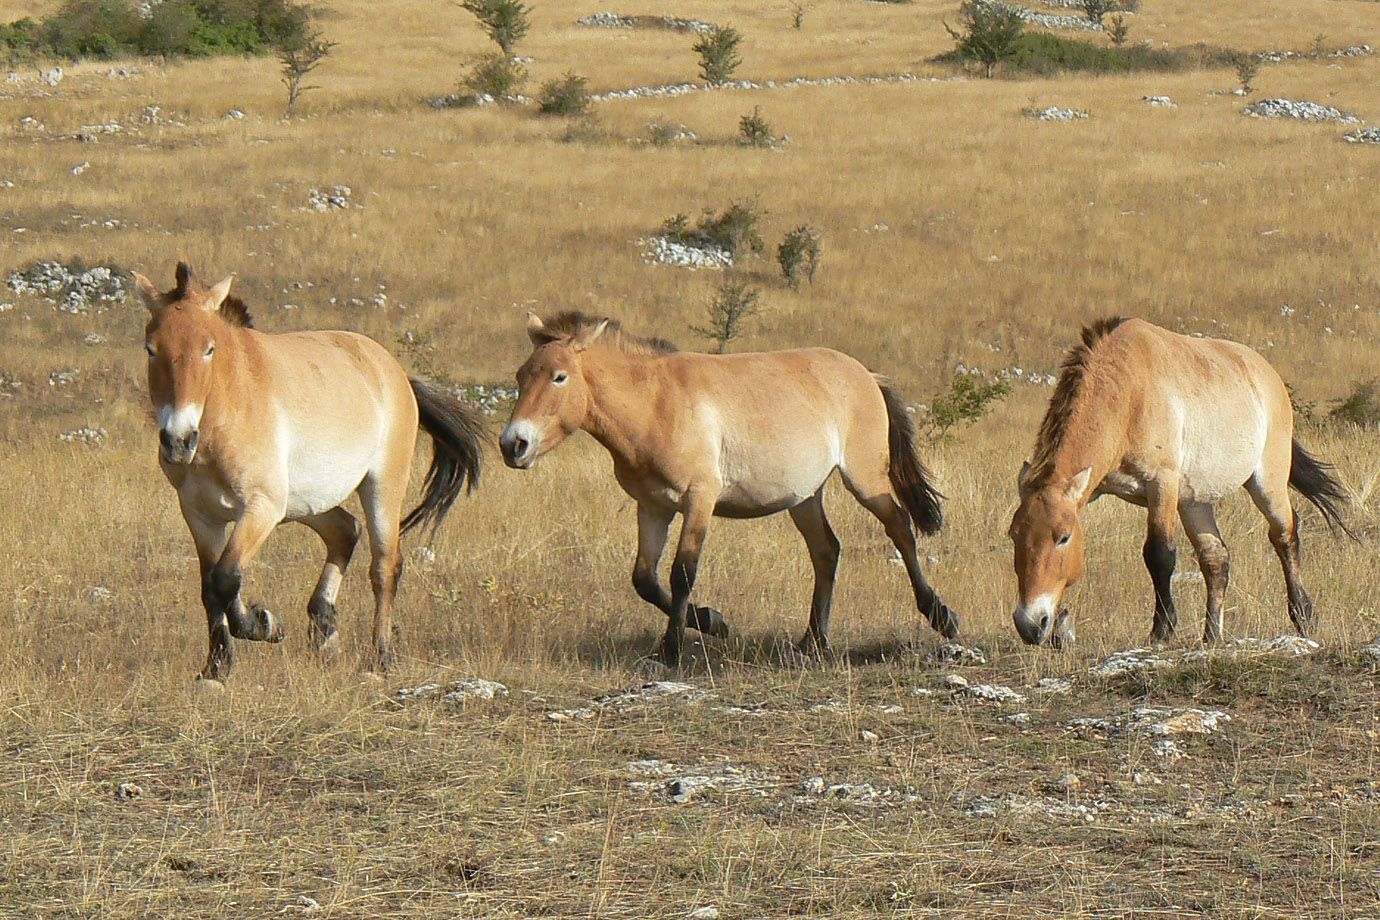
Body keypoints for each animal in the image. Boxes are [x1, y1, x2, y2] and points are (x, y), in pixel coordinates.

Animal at [133, 263, 483, 682]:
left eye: (209, 349)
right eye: (151, 349)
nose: (178, 441)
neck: (230, 407)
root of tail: (396, 373)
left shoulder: (261, 508)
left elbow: (226, 578)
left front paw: (264, 624)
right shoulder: (201, 515)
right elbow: (209, 588)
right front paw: (217, 667)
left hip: (381, 488)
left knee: (385, 566)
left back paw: (380, 658)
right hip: (306, 504)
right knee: (346, 531)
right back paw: (325, 628)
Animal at [498, 311, 959, 667]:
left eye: (559, 377)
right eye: (521, 375)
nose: (513, 444)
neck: (655, 404)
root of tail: (865, 373)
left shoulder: (698, 499)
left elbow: (682, 571)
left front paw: (671, 651)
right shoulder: (652, 507)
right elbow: (644, 579)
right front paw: (712, 622)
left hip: (865, 479)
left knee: (899, 528)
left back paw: (942, 617)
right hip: (805, 497)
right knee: (826, 551)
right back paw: (813, 640)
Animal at [1008, 316, 1349, 648]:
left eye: (1064, 537)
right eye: (1014, 535)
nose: (1030, 624)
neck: (1129, 393)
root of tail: (1268, 374)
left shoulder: (1161, 485)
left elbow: (1159, 554)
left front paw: (1162, 630)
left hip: (1267, 484)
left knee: (1284, 536)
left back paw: (1304, 615)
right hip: (1194, 502)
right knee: (1216, 559)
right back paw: (1212, 635)